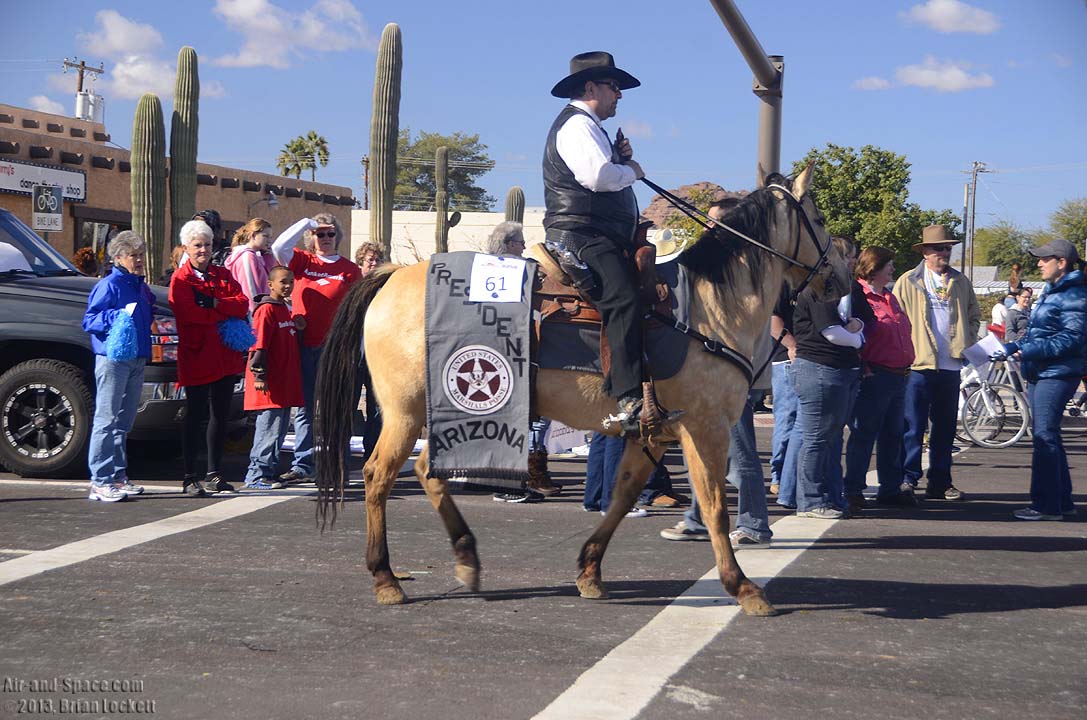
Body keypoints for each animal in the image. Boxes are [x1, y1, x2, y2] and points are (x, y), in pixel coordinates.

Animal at [315, 166, 847, 617]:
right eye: (819, 219)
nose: (839, 282)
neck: (711, 307)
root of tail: (388, 278)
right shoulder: (705, 427)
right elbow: (715, 505)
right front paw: (743, 586)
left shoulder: (655, 432)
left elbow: (623, 493)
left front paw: (589, 570)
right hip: (406, 413)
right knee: (379, 475)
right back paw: (386, 578)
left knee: (427, 470)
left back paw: (467, 559)